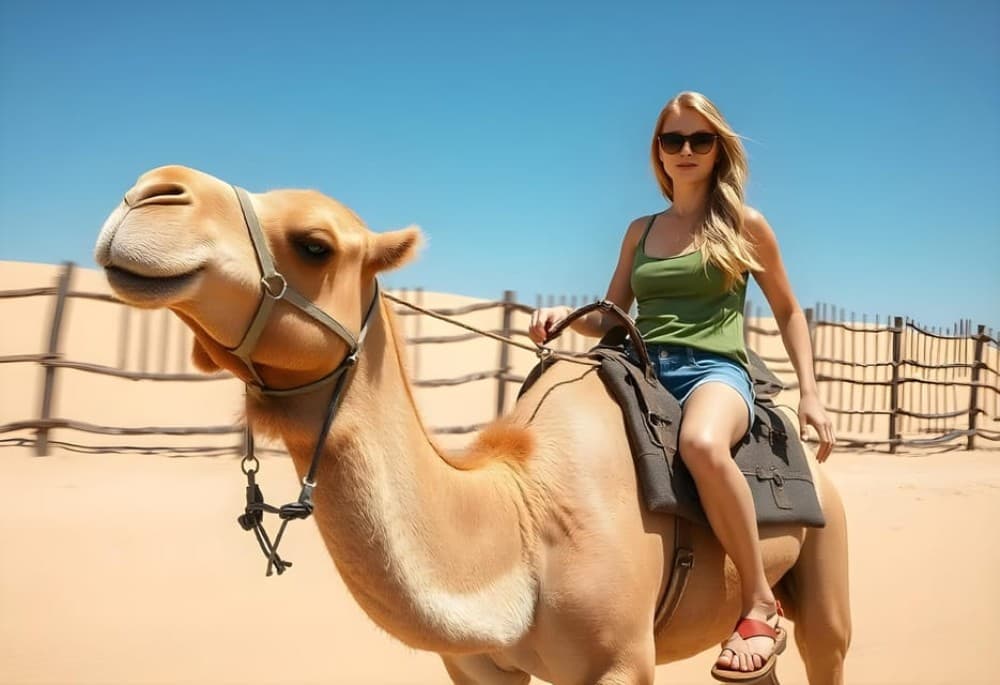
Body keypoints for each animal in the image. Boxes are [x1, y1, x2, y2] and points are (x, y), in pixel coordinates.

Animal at [94, 165, 851, 684]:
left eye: (314, 245)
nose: (150, 192)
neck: (523, 521)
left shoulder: (623, 659)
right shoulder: (474, 666)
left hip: (825, 582)